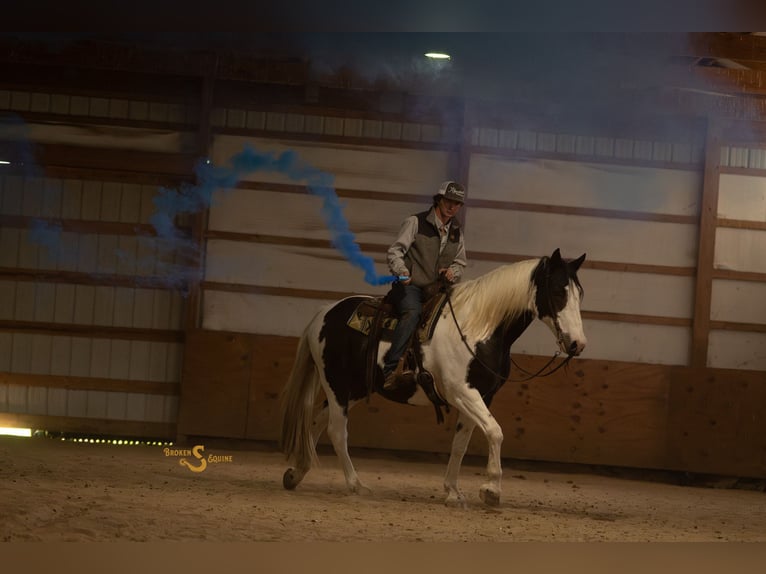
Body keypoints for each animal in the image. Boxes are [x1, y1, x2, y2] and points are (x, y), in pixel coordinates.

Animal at [279, 247, 587, 507]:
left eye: (579, 294)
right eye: (558, 292)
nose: (577, 344)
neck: (478, 328)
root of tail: (324, 313)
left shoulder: (482, 396)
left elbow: (461, 444)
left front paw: (453, 491)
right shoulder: (461, 391)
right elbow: (495, 431)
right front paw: (491, 490)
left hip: (352, 389)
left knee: (318, 422)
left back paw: (296, 473)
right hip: (337, 386)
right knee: (336, 431)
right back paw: (356, 485)